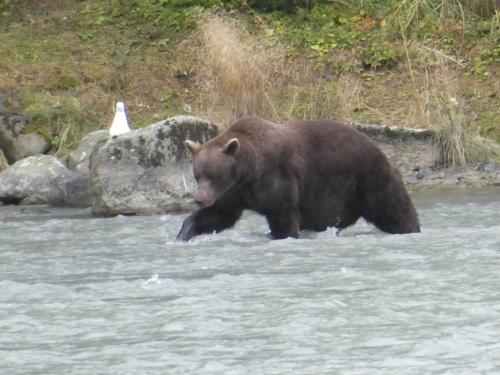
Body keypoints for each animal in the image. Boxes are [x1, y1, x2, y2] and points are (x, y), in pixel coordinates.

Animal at [178, 117, 420, 241]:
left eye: (213, 175)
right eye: (197, 175)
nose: (199, 199)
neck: (249, 171)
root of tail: (379, 147)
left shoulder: (276, 179)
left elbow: (282, 215)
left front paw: (283, 235)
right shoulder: (234, 193)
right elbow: (219, 214)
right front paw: (183, 234)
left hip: (368, 177)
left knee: (393, 208)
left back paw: (410, 228)